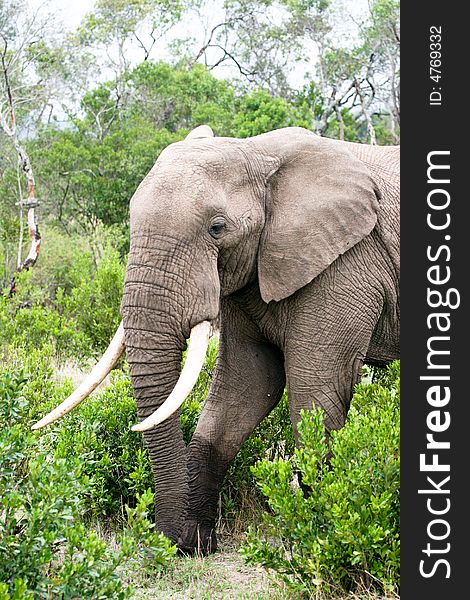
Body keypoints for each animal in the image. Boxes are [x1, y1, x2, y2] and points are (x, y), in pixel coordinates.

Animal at [34, 124, 400, 556]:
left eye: (217, 228)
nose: (167, 540)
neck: (257, 153)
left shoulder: (346, 264)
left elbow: (315, 390)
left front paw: (325, 540)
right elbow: (245, 386)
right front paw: (193, 541)